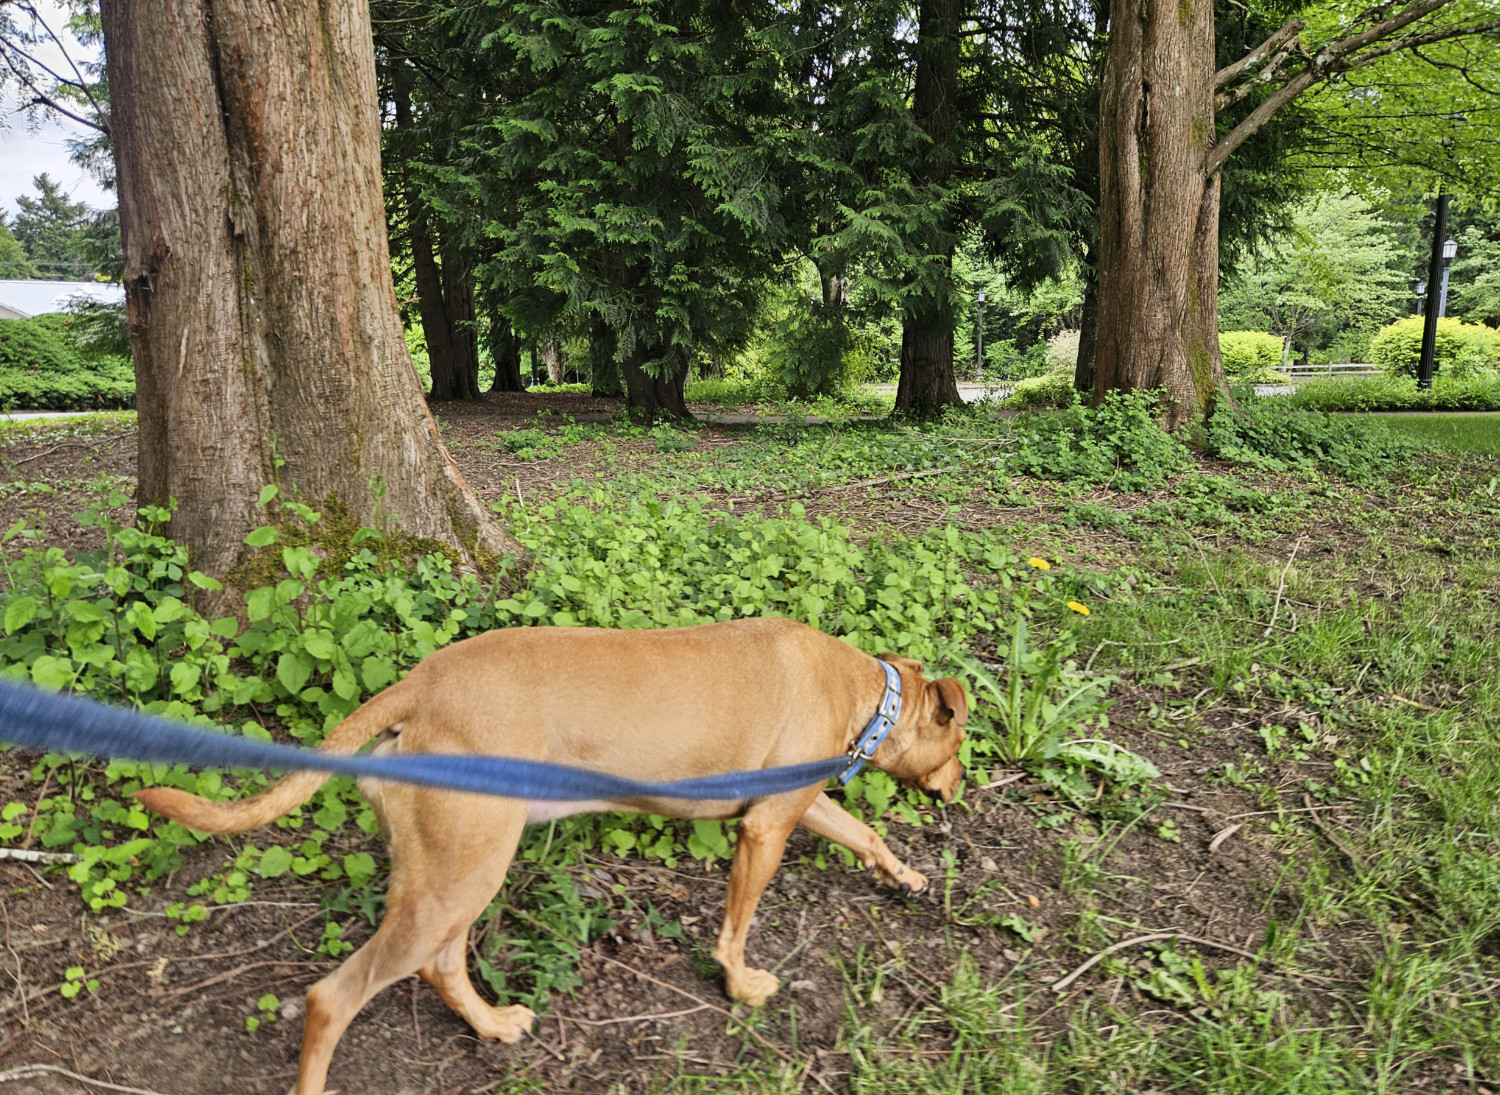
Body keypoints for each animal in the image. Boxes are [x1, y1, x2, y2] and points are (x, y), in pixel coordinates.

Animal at [135, 615, 966, 1092]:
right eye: (957, 741)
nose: (958, 786)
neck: (866, 690)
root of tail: (421, 683)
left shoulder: (794, 803)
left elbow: (869, 834)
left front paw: (909, 875)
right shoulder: (764, 829)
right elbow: (736, 926)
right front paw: (739, 981)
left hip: (460, 871)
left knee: (440, 964)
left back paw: (493, 1025)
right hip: (461, 875)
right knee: (333, 997)